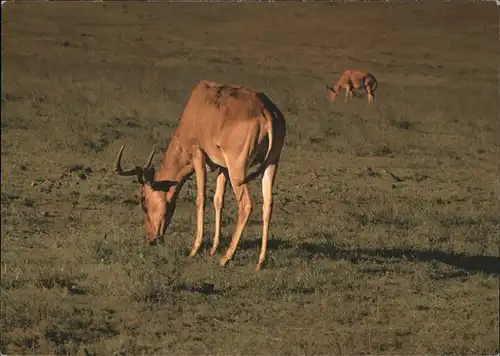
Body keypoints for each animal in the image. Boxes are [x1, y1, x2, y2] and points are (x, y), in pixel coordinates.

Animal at [114, 79, 286, 272]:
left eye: (143, 201)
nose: (151, 239)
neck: (197, 107)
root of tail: (267, 112)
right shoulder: (222, 167)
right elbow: (218, 200)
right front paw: (213, 248)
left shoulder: (198, 155)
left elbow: (201, 198)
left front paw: (195, 249)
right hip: (271, 163)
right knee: (268, 204)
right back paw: (260, 261)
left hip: (237, 170)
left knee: (246, 204)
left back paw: (226, 258)